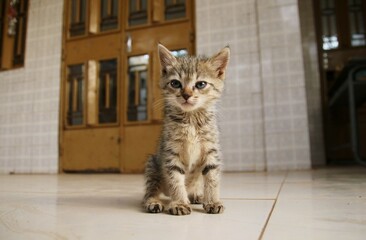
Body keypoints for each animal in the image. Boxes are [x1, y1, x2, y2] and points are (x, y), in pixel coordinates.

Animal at [142, 43, 230, 216]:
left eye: (201, 84)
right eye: (175, 83)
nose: (186, 95)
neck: (191, 120)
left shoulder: (211, 151)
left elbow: (212, 178)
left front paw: (213, 201)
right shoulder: (171, 153)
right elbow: (175, 179)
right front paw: (179, 203)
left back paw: (196, 195)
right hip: (152, 164)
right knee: (151, 190)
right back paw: (153, 201)